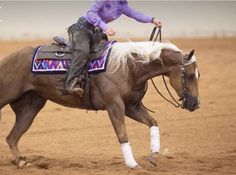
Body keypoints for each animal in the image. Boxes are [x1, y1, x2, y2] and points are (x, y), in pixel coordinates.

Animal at [0, 40, 199, 168]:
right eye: (189, 76)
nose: (195, 104)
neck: (129, 67)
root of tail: (7, 60)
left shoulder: (131, 107)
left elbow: (153, 123)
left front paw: (153, 157)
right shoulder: (115, 106)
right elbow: (122, 135)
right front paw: (133, 165)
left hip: (30, 108)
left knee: (12, 137)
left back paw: (20, 161)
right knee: (12, 137)